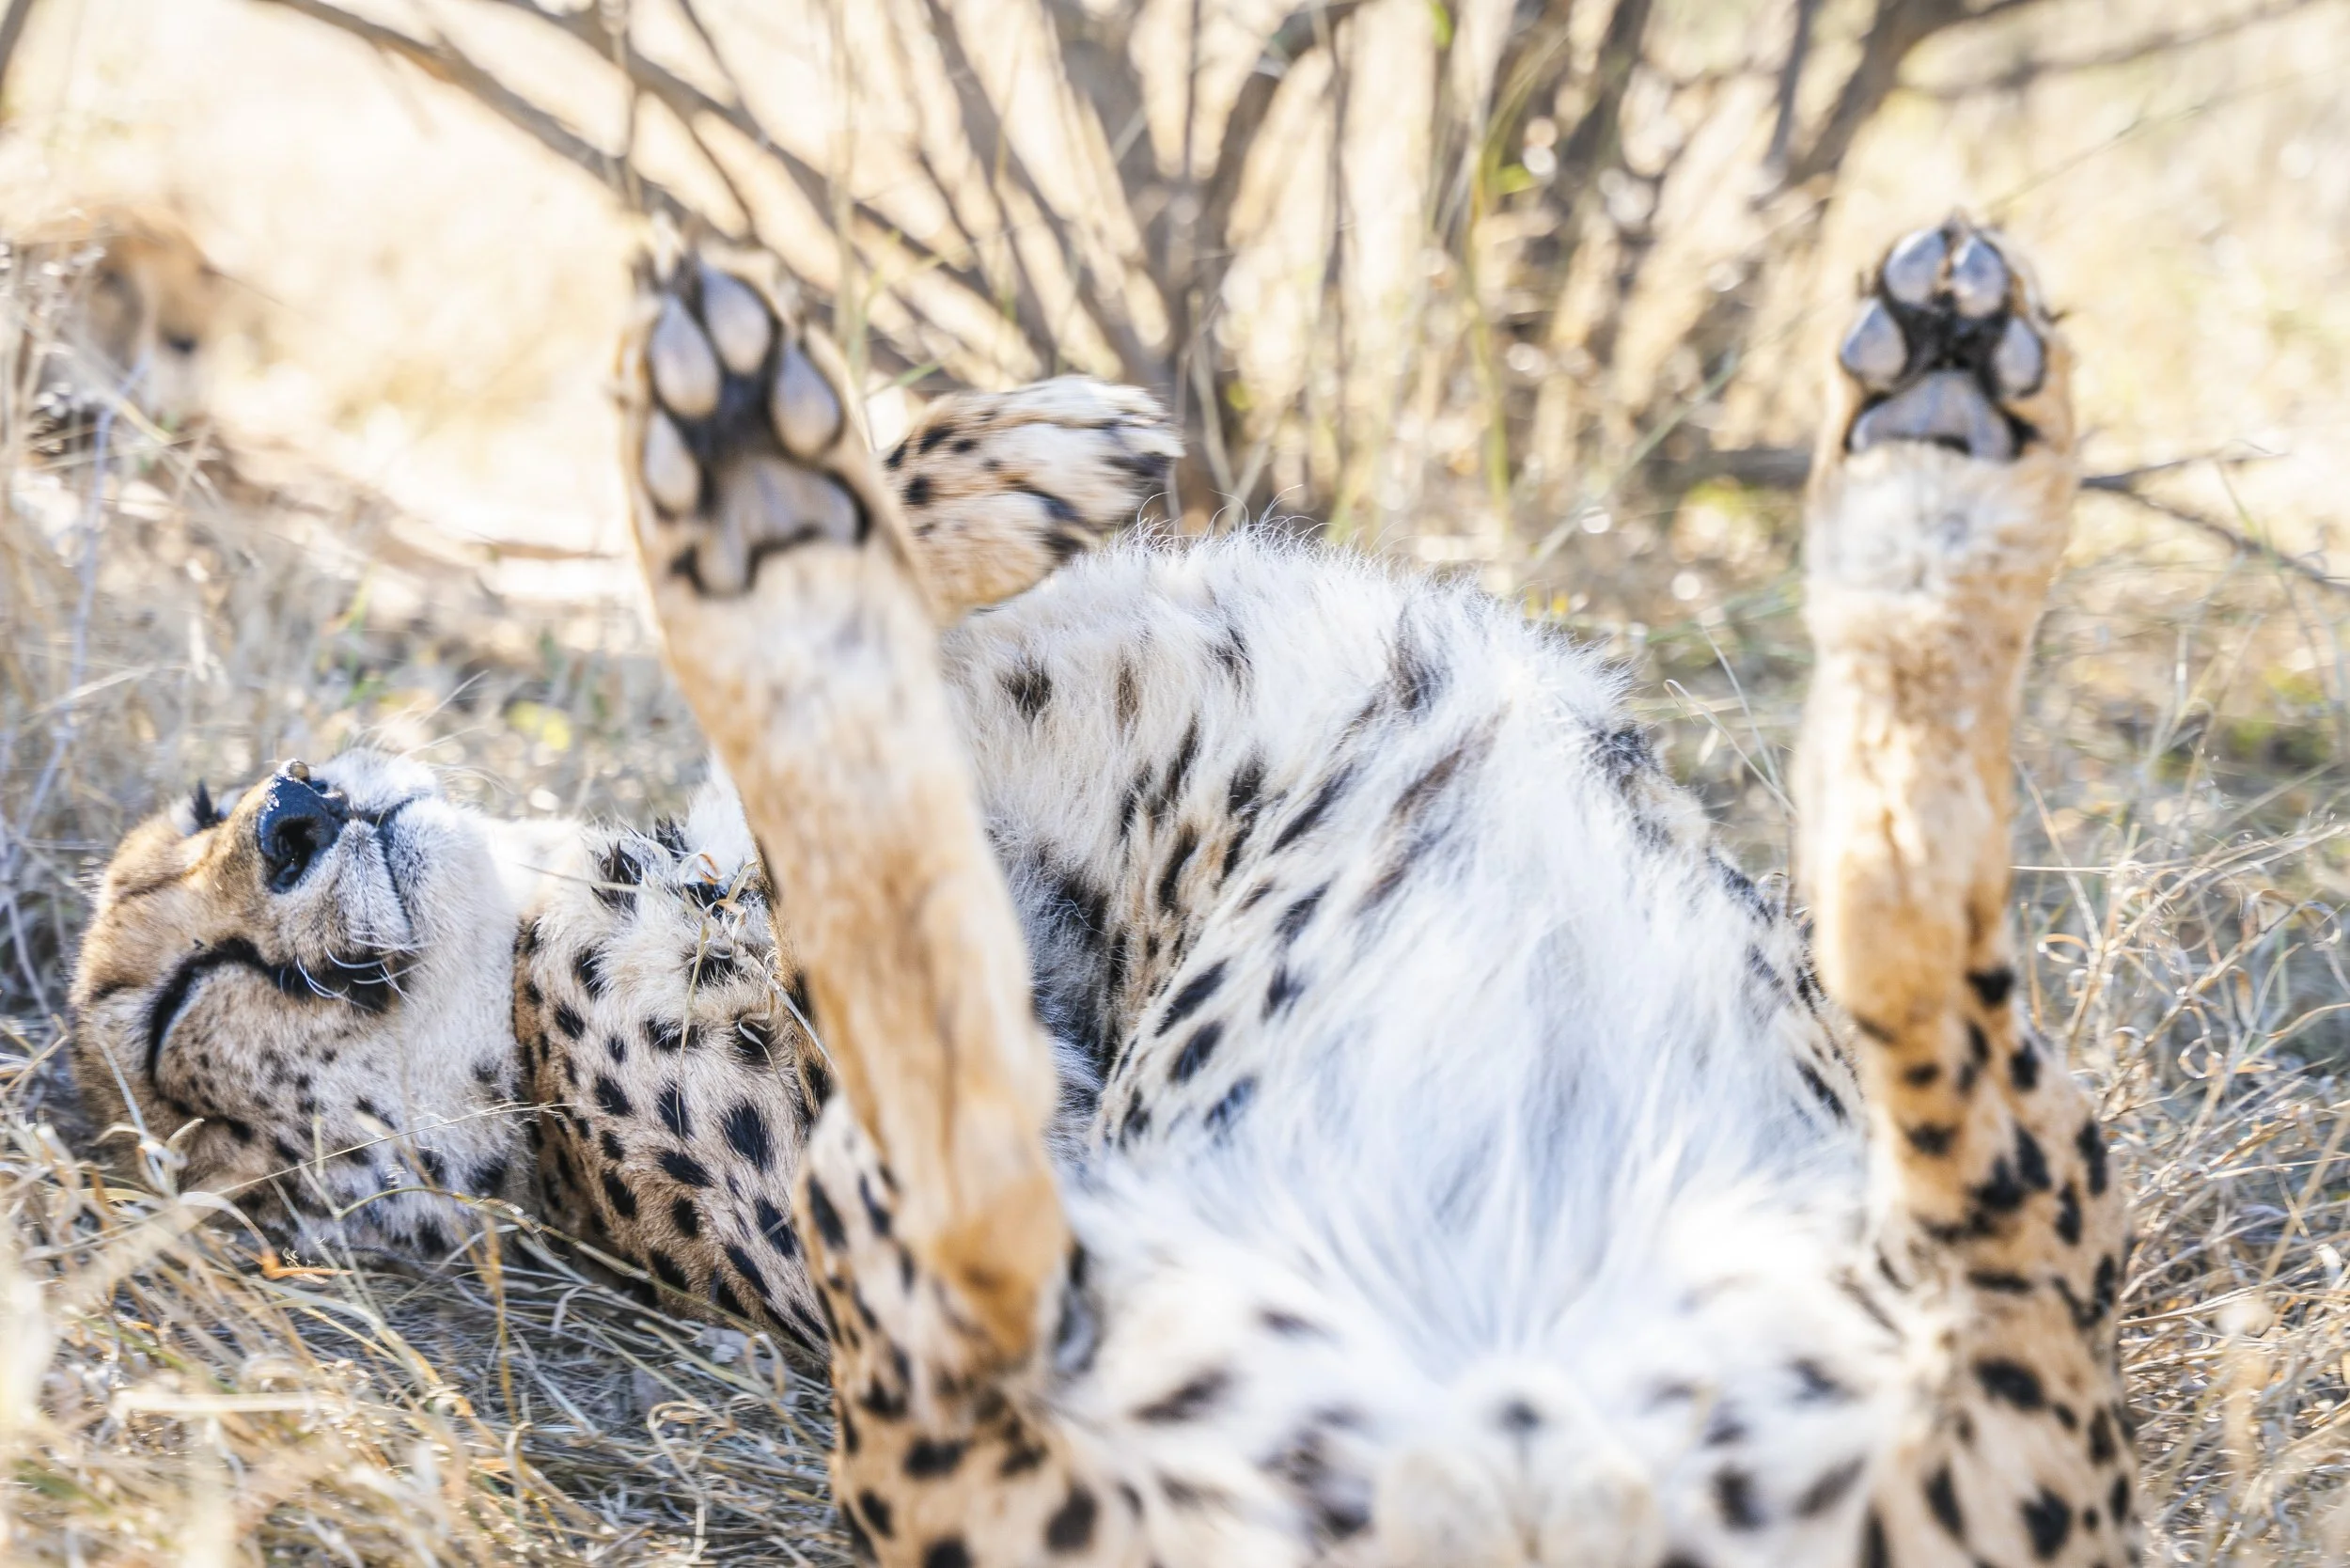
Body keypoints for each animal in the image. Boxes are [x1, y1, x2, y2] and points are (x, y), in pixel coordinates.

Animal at [70, 215, 2138, 1568]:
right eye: (174, 1027)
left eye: (201, 811)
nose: (294, 818)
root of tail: (1531, 1480)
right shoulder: (1036, 1085)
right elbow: (853, 856)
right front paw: (838, 479)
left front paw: (958, 456)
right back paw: (735, 494)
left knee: (1948, 1054)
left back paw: (1948, 409)